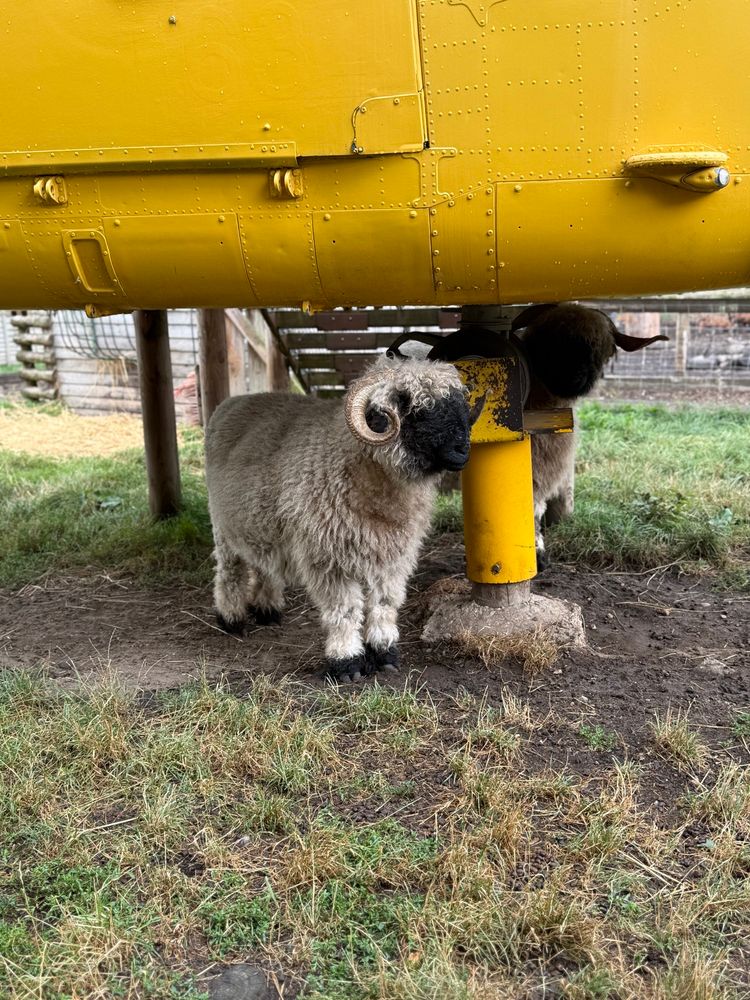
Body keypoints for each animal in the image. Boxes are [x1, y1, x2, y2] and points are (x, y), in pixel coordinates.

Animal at [204, 356, 475, 681]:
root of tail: (231, 402)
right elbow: (343, 610)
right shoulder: (328, 557)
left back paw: (267, 611)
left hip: (261, 525)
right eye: (411, 406)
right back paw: (231, 618)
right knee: (229, 572)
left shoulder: (393, 557)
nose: (463, 450)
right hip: (223, 527)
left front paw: (384, 654)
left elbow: (384, 604)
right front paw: (346, 662)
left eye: (459, 404)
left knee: (264, 565)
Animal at [511, 303, 667, 568]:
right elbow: (530, 506)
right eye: (549, 338)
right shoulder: (536, 465)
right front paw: (536, 556)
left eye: (604, 349)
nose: (575, 377)